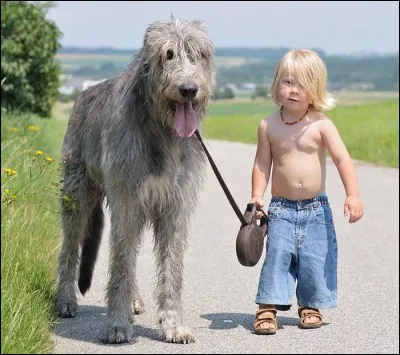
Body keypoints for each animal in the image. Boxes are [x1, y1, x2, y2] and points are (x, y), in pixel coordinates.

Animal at [55, 18, 216, 344]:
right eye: (168, 54)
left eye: (199, 54)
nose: (189, 89)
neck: (162, 131)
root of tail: (83, 94)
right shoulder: (127, 201)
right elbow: (120, 264)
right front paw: (117, 325)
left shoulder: (174, 206)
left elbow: (171, 267)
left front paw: (173, 325)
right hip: (76, 196)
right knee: (72, 248)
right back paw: (65, 300)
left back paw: (133, 299)